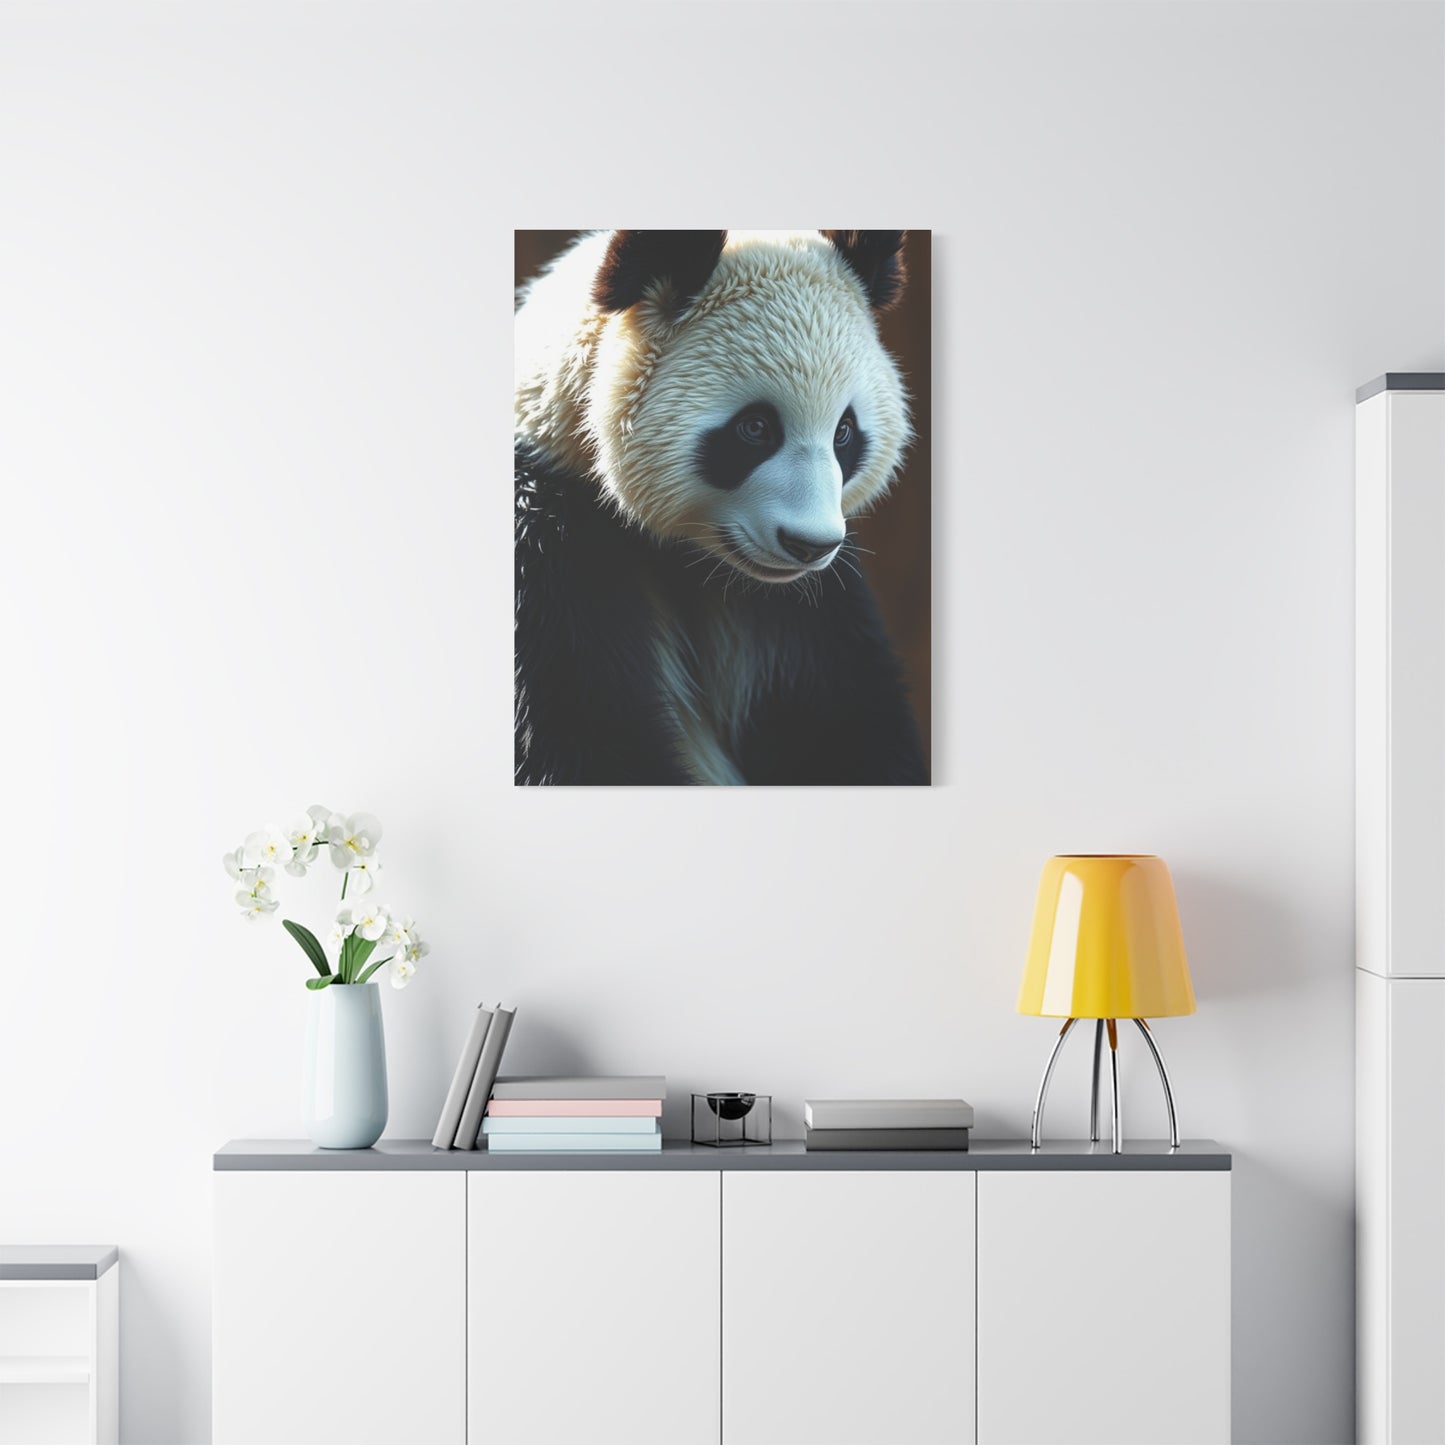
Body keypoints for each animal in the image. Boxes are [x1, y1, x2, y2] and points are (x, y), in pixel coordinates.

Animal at [514, 229, 927, 786]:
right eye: (755, 428)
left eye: (844, 431)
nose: (809, 545)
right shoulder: (546, 549)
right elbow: (584, 736)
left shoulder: (802, 609)